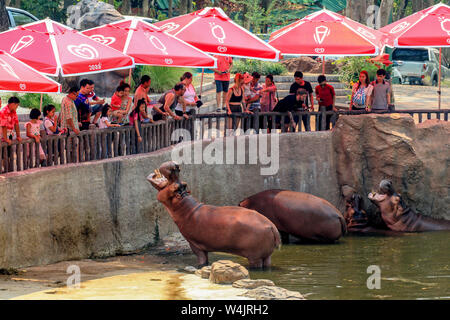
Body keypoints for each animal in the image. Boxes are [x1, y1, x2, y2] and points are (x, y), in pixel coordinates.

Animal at [148, 161, 282, 268]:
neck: (185, 206)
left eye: (175, 187)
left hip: (255, 256)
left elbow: (202, 260)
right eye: (184, 184)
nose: (175, 166)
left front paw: (200, 267)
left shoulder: (195, 245)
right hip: (267, 255)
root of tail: (272, 226)